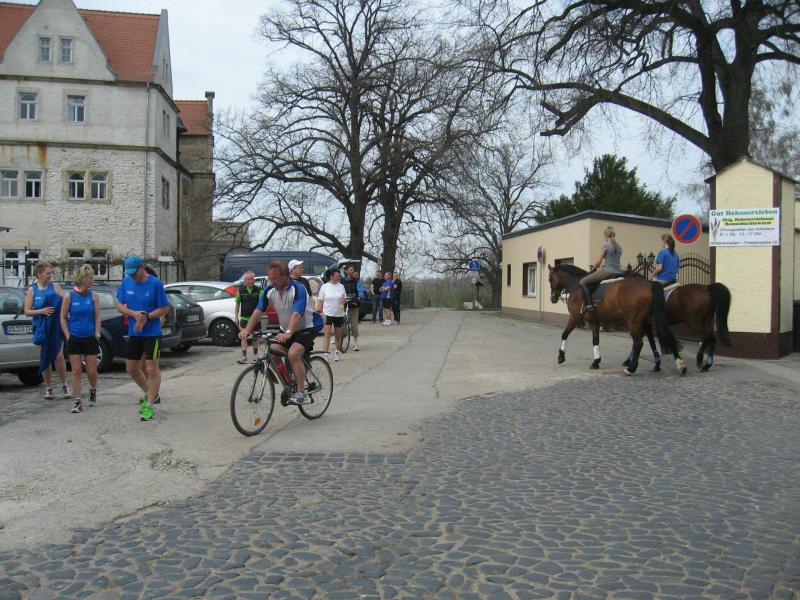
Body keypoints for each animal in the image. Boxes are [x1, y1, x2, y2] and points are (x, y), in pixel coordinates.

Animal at [547, 264, 684, 375]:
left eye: (550, 279)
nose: (552, 298)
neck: (576, 285)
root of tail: (649, 284)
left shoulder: (575, 317)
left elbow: (565, 334)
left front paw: (561, 356)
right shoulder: (594, 320)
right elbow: (595, 340)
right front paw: (596, 362)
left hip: (634, 322)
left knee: (639, 342)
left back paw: (631, 368)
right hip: (645, 321)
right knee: (657, 338)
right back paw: (673, 365)